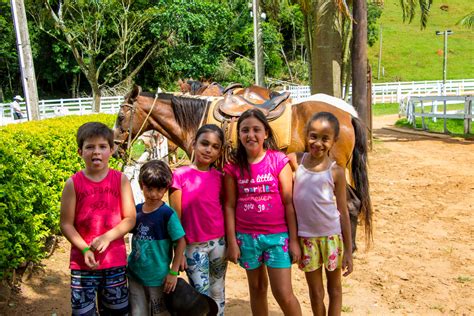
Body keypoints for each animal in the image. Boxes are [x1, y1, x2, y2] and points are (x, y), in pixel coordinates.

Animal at [114, 86, 370, 249]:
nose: (116, 148)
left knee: (350, 203)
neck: (197, 121)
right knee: (356, 202)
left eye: (120, 117)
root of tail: (347, 115)